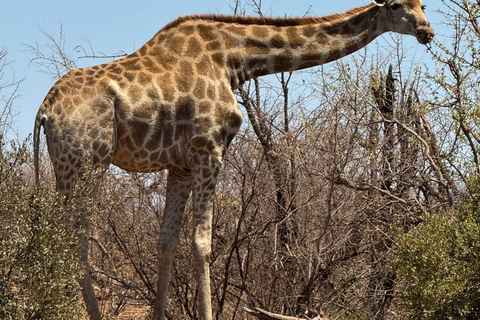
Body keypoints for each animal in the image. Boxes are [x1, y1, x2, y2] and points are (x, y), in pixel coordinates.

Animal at [32, 1, 432, 318]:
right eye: (396, 5)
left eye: (423, 4)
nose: (426, 31)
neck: (232, 59)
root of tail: (45, 111)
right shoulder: (209, 150)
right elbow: (202, 244)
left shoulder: (180, 165)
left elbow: (167, 243)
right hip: (87, 164)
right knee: (73, 243)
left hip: (65, 168)